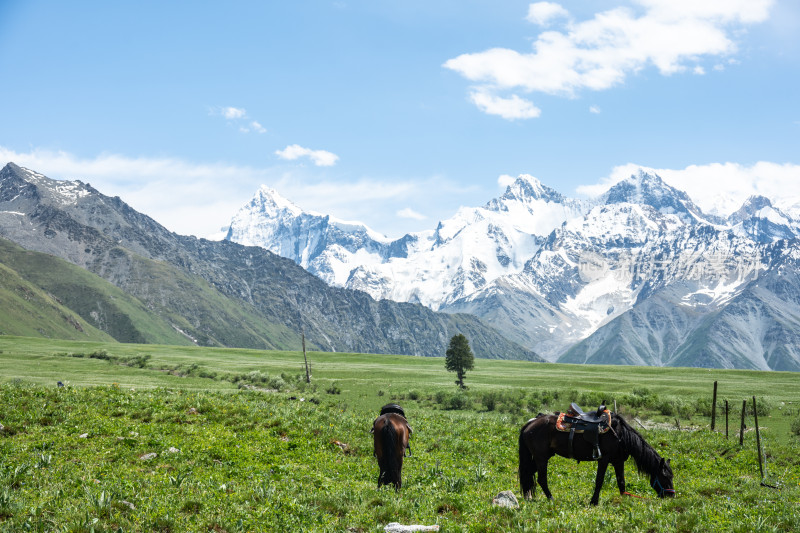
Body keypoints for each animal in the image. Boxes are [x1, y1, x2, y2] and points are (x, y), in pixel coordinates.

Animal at [520, 412, 676, 502]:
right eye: (665, 476)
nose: (671, 496)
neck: (620, 436)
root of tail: (530, 423)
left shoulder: (618, 461)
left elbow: (621, 482)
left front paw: (623, 499)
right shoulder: (604, 459)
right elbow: (599, 481)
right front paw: (594, 501)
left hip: (541, 457)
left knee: (528, 474)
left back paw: (528, 496)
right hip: (541, 459)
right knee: (541, 479)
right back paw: (551, 499)